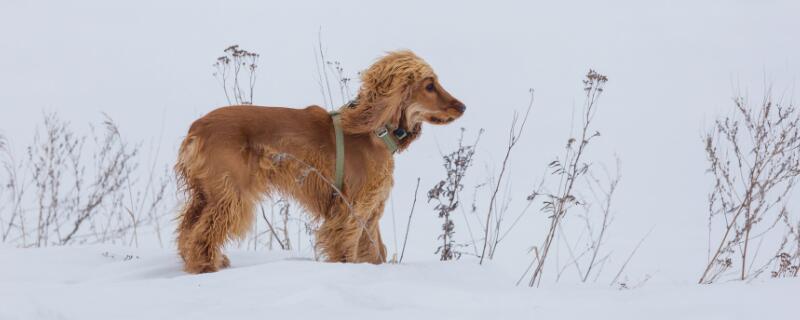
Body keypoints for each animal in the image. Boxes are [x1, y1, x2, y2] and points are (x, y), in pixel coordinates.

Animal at [172, 50, 466, 272]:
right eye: (429, 85)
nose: (462, 107)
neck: (375, 131)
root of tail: (196, 128)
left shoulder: (370, 212)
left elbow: (375, 252)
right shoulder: (350, 211)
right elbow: (347, 248)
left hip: (206, 193)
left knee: (188, 229)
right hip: (231, 193)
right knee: (202, 232)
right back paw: (206, 265)